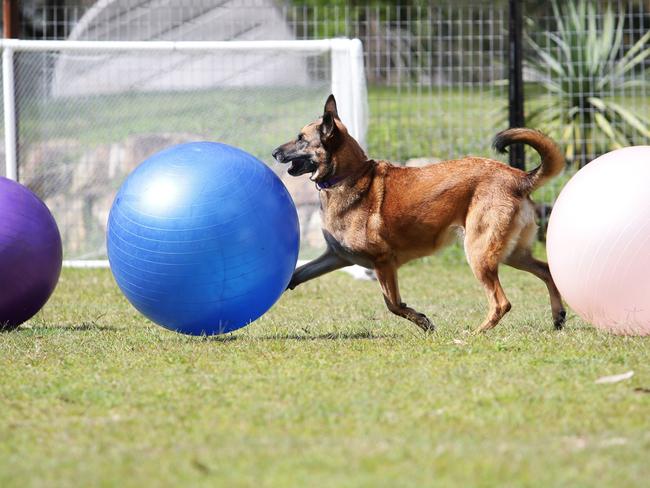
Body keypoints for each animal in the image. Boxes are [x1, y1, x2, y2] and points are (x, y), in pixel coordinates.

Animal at [270, 93, 564, 334]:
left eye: (301, 139)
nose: (274, 152)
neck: (347, 176)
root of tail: (519, 177)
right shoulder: (337, 257)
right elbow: (296, 276)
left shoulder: (383, 263)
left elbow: (393, 304)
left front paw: (424, 322)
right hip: (512, 253)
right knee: (547, 271)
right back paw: (558, 317)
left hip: (479, 252)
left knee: (502, 302)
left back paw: (475, 333)